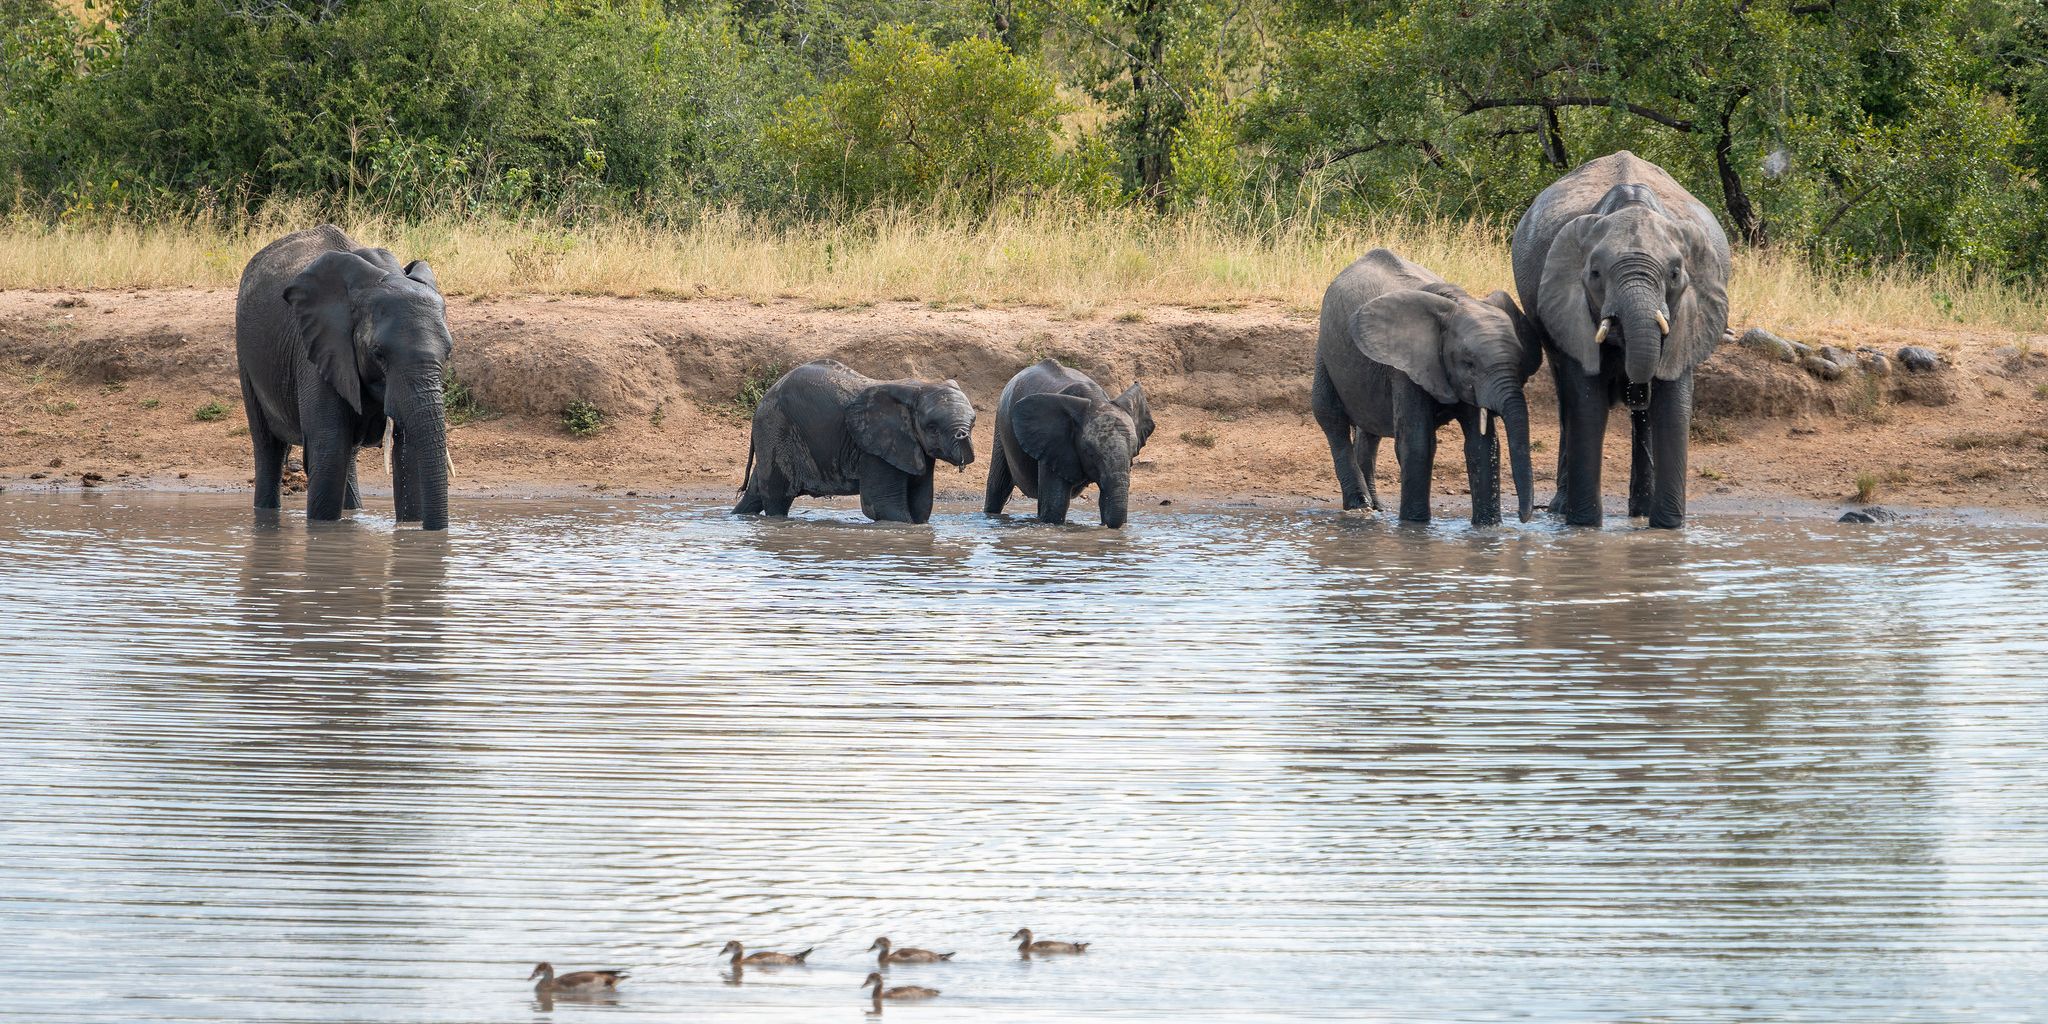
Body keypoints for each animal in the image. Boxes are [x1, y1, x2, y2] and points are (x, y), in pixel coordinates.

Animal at [235, 225, 454, 530]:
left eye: (448, 352)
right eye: (378, 353)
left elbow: (408, 457)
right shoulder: (318, 349)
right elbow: (329, 454)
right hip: (246, 357)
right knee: (269, 449)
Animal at [734, 359, 976, 524]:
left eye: (973, 423)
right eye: (932, 428)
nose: (963, 436)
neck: (918, 388)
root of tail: (764, 398)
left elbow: (921, 505)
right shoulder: (875, 447)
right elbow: (880, 505)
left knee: (756, 491)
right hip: (776, 429)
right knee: (777, 497)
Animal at [984, 358, 1153, 528]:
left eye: (1133, 453)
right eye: (1090, 453)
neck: (1096, 401)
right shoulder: (1054, 444)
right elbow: (1055, 506)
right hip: (1000, 425)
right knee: (998, 487)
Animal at [1312, 249, 1543, 525]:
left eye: (1519, 361)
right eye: (1469, 363)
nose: (1523, 517)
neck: (1457, 302)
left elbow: (1482, 444)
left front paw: (1488, 527)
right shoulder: (1405, 368)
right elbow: (1417, 442)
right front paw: (1415, 525)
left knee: (1370, 430)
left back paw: (1375, 508)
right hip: (1325, 350)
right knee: (1331, 417)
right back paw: (1360, 507)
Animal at [1510, 151, 1731, 528]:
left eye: (1675, 273)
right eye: (1596, 273)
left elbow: (1673, 404)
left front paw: (1668, 529)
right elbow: (1586, 400)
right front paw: (1584, 526)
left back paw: (1639, 512)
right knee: (1565, 398)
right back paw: (1562, 509)